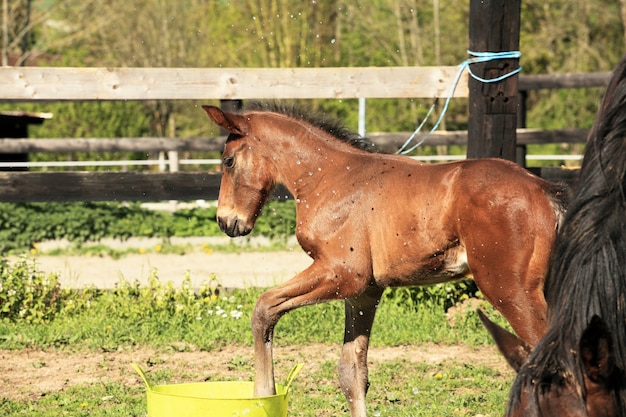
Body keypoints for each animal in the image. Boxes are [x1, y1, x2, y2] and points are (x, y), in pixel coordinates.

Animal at [204, 101, 564, 416]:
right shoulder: (365, 291)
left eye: (228, 161)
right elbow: (351, 372)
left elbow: (264, 309)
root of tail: (543, 190)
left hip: (508, 288)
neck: (328, 178)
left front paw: (262, 396)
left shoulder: (343, 273)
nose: (226, 221)